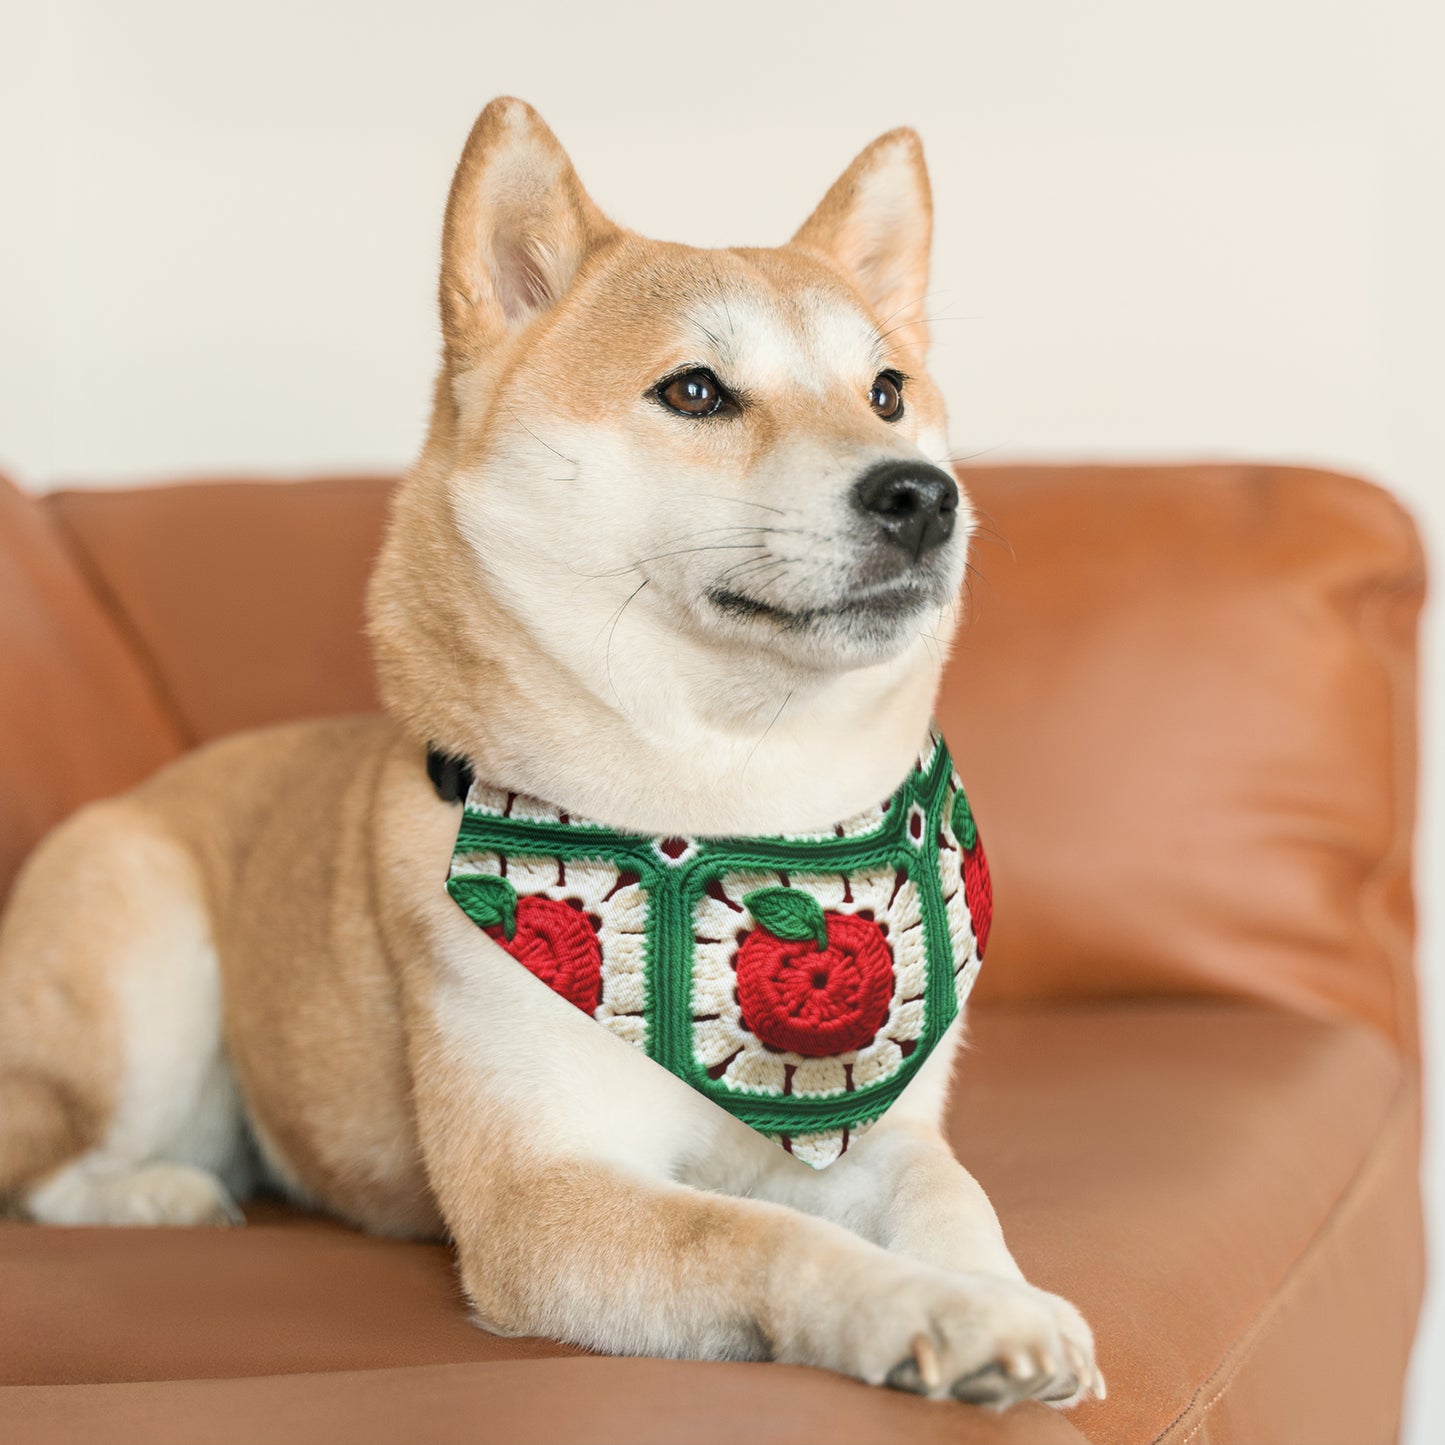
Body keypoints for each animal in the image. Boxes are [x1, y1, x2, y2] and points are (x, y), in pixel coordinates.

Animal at [0, 96, 1098, 1404]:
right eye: (694, 390)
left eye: (886, 390)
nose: (922, 494)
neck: (729, 812)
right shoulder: (541, 1195)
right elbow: (765, 1235)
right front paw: (927, 1308)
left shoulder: (882, 1131)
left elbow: (949, 1194)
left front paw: (1002, 1294)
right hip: (145, 962)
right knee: (48, 1165)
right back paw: (161, 1192)